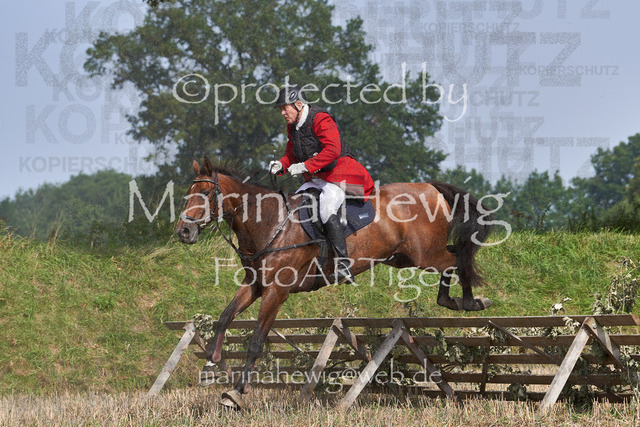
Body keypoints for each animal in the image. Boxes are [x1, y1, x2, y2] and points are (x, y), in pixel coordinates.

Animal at [175, 157, 493, 408]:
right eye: (187, 194)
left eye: (206, 193)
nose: (183, 232)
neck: (269, 223)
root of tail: (429, 186)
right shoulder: (255, 285)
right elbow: (225, 317)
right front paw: (211, 364)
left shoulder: (276, 292)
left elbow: (256, 341)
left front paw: (237, 393)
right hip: (403, 257)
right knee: (455, 256)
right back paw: (456, 300)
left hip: (425, 254)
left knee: (458, 259)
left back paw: (469, 301)